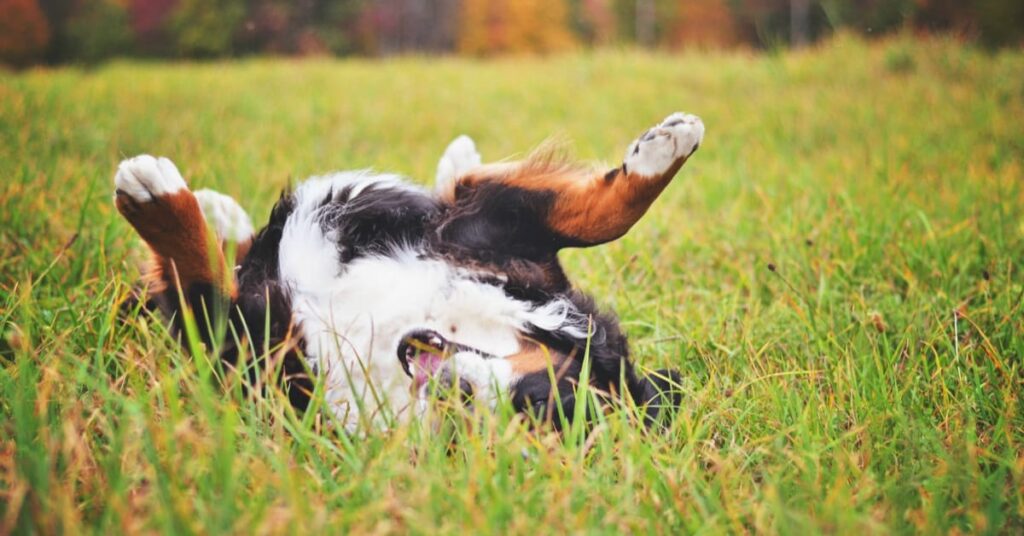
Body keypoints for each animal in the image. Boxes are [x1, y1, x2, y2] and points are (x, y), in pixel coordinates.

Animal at [114, 112, 704, 432]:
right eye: (538, 399)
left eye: (528, 418)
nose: (454, 392)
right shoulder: (493, 237)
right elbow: (600, 216)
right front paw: (666, 150)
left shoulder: (257, 355)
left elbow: (204, 293)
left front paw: (156, 203)